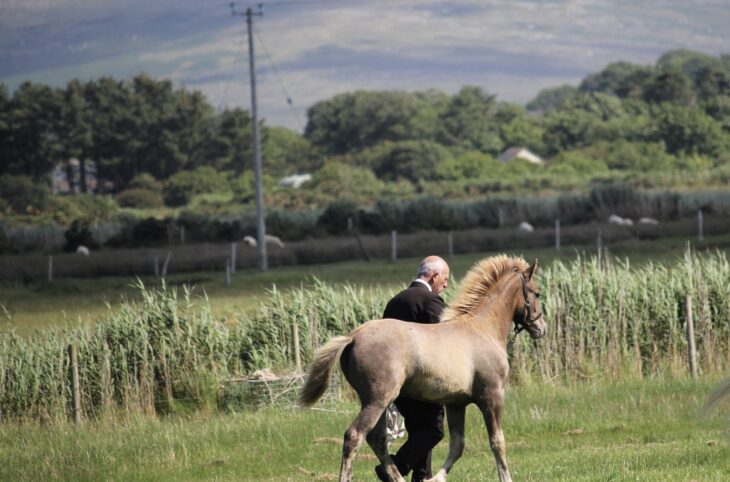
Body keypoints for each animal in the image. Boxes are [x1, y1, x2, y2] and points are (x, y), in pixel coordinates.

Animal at [300, 255, 547, 482]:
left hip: (375, 401)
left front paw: (434, 478)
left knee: (377, 440)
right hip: (377, 400)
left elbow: (457, 445)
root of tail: (353, 336)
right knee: (354, 437)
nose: (541, 328)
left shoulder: (456, 403)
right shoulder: (492, 396)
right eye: (536, 293)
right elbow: (497, 442)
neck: (482, 329)